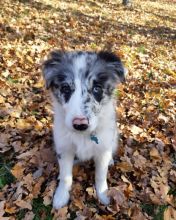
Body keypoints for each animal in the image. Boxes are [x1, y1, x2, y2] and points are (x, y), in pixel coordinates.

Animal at [42, 50, 125, 209]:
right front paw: (61, 196)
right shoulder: (64, 148)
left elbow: (100, 175)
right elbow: (66, 177)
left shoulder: (103, 148)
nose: (80, 124)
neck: (83, 135)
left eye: (97, 88)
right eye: (65, 88)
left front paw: (103, 195)